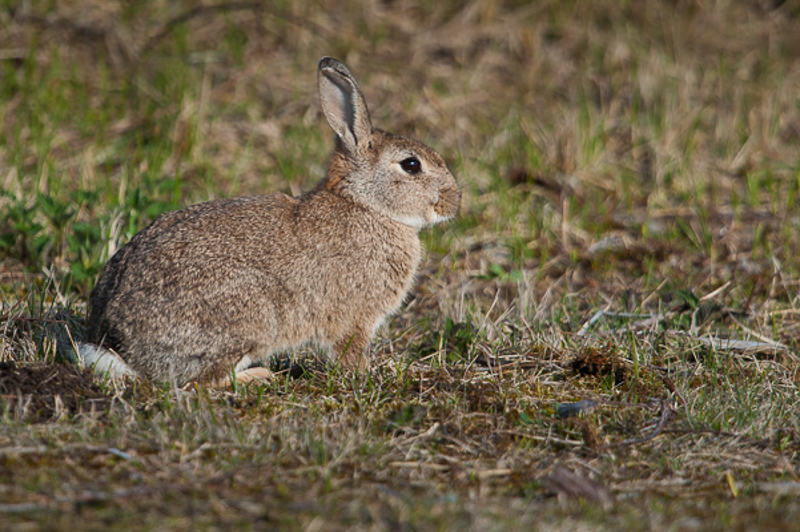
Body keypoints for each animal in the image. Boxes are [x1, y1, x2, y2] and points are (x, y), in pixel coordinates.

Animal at [78, 57, 462, 386]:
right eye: (411, 165)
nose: (454, 202)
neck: (367, 205)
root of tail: (116, 345)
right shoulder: (354, 318)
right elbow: (350, 352)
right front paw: (367, 376)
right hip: (252, 316)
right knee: (201, 382)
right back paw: (257, 376)